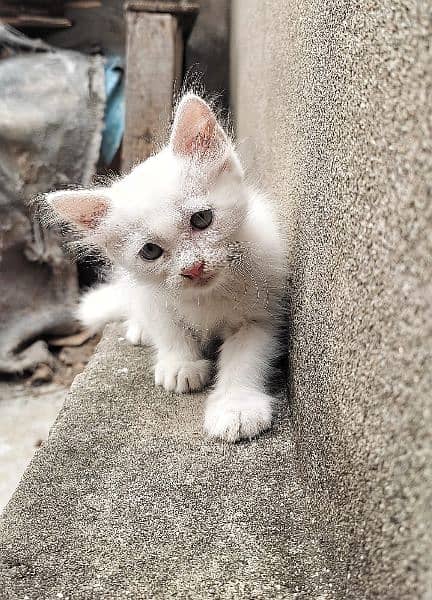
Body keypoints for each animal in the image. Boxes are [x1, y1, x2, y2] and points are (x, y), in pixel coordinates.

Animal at [45, 92, 286, 440]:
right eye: (150, 251)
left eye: (202, 219)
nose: (193, 267)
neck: (205, 297)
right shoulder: (152, 295)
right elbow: (169, 327)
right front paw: (180, 364)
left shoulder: (261, 313)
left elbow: (245, 357)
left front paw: (236, 406)